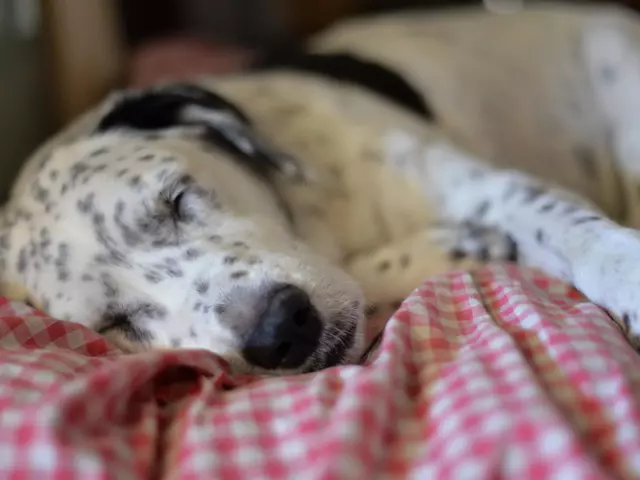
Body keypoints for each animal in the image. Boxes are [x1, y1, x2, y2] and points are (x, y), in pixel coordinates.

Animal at [2, 3, 640, 376]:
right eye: (114, 324)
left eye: (177, 199)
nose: (280, 331)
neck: (322, 220)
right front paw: (456, 248)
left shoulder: (495, 187)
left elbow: (572, 231)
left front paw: (623, 270)